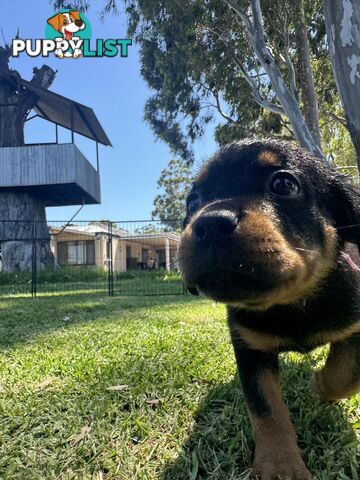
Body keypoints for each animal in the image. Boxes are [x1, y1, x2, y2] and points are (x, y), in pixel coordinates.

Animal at [179, 138, 360, 476]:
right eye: (192, 201)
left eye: (284, 184)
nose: (209, 223)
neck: (289, 304)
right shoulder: (249, 347)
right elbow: (266, 408)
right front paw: (280, 465)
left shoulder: (355, 328)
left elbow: (345, 374)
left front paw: (319, 385)